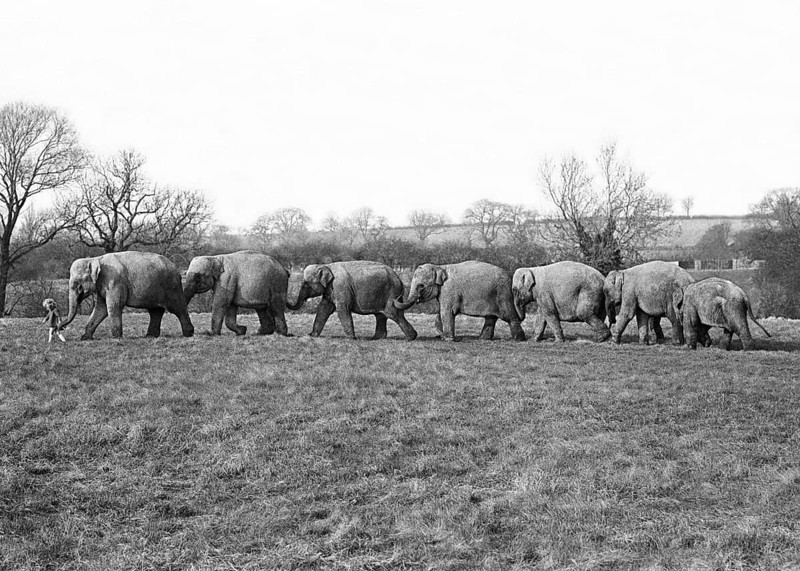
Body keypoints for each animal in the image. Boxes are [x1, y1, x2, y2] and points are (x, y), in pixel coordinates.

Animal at [60, 251, 194, 340]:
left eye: (78, 284)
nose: (60, 328)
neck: (95, 258)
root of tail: (177, 269)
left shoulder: (114, 282)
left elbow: (113, 306)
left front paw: (116, 338)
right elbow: (101, 308)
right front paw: (85, 338)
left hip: (172, 287)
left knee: (178, 308)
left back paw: (188, 334)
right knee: (155, 311)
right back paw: (150, 336)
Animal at [287, 260, 417, 340]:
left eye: (305, 284)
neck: (326, 265)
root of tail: (399, 279)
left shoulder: (340, 286)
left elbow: (342, 309)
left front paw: (351, 339)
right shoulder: (330, 289)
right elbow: (324, 308)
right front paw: (312, 335)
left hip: (391, 293)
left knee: (393, 313)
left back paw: (410, 338)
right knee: (380, 315)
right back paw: (377, 338)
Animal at [394, 260, 525, 341]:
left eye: (421, 286)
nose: (397, 296)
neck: (440, 266)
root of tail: (511, 278)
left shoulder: (448, 290)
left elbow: (446, 311)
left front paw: (448, 339)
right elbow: (441, 312)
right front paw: (443, 336)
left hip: (503, 294)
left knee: (509, 316)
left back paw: (518, 339)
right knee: (490, 318)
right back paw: (483, 339)